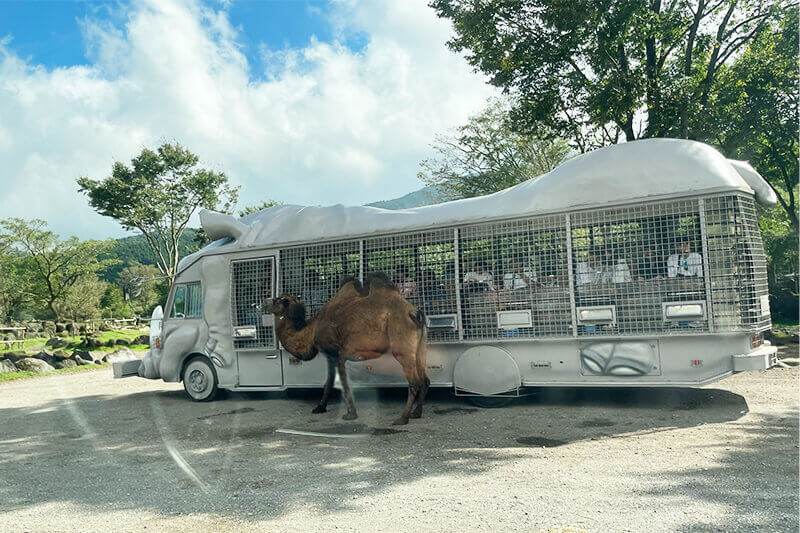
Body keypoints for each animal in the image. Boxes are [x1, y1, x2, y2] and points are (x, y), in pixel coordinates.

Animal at [268, 272, 428, 426]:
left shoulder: (338, 353)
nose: (265, 302)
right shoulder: (331, 355)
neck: (312, 330)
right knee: (424, 379)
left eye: (278, 299)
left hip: (402, 347)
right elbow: (329, 383)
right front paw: (320, 407)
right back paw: (416, 413)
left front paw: (350, 413)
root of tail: (415, 313)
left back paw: (403, 418)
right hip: (420, 348)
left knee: (414, 382)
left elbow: (343, 383)